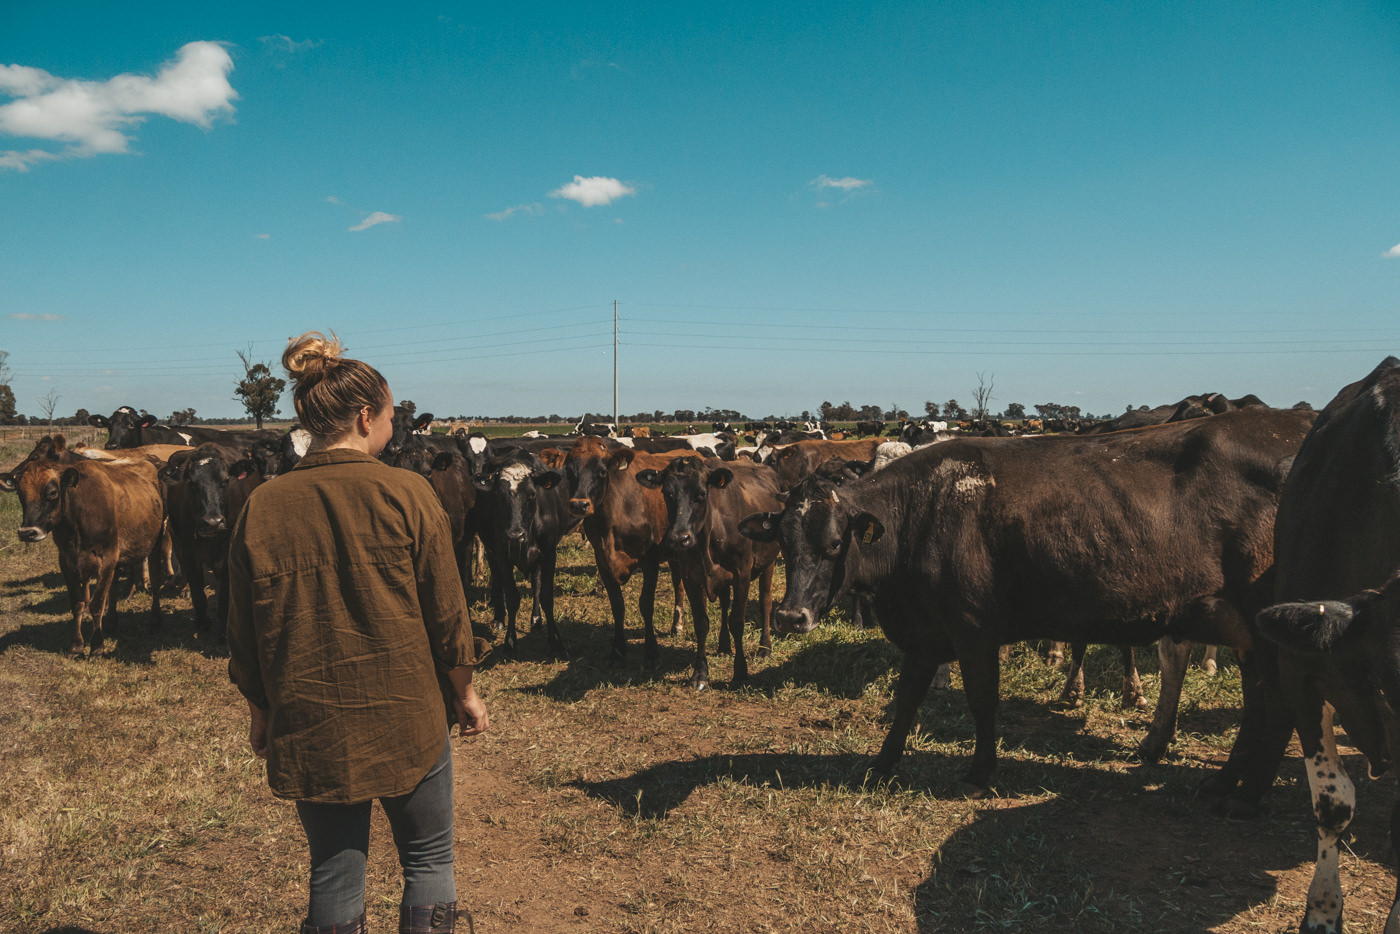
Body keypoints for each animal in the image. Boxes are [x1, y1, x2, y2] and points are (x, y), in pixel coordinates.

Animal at [1, 448, 169, 655]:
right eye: (20, 493)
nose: (27, 532)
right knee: (113, 586)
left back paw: (155, 621)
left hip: (156, 540)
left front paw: (97, 645)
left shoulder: (107, 558)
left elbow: (96, 604)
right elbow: (78, 602)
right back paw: (112, 622)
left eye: (52, 492)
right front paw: (76, 644)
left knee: (155, 579)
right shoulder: (67, 561)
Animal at [473, 448, 576, 658]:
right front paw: (510, 642)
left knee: (536, 584)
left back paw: (536, 619)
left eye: (532, 494)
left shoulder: (548, 554)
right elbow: (512, 597)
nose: (515, 535)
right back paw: (499, 618)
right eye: (498, 495)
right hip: (492, 553)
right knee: (498, 582)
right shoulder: (501, 555)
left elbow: (545, 595)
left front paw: (556, 642)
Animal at [562, 434, 705, 669]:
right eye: (568, 470)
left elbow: (646, 603)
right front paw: (618, 650)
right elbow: (617, 605)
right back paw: (677, 624)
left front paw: (651, 652)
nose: (579, 505)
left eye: (602, 471)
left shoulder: (650, 558)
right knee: (678, 584)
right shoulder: (601, 559)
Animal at [638, 456, 784, 691]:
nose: (679, 538)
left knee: (765, 601)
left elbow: (737, 621)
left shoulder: (742, 574)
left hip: (768, 563)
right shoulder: (691, 578)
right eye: (667, 494)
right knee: (724, 604)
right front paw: (700, 674)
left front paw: (740, 672)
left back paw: (764, 648)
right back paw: (724, 646)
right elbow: (701, 623)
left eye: (701, 494)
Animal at [739, 408, 1316, 795]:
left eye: (836, 543)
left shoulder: (973, 630)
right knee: (1259, 701)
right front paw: (883, 763)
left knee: (1277, 702)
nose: (790, 616)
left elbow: (981, 700)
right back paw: (1229, 778)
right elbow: (906, 700)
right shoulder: (925, 634)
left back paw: (1244, 791)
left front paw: (981, 772)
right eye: (784, 541)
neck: (923, 513)